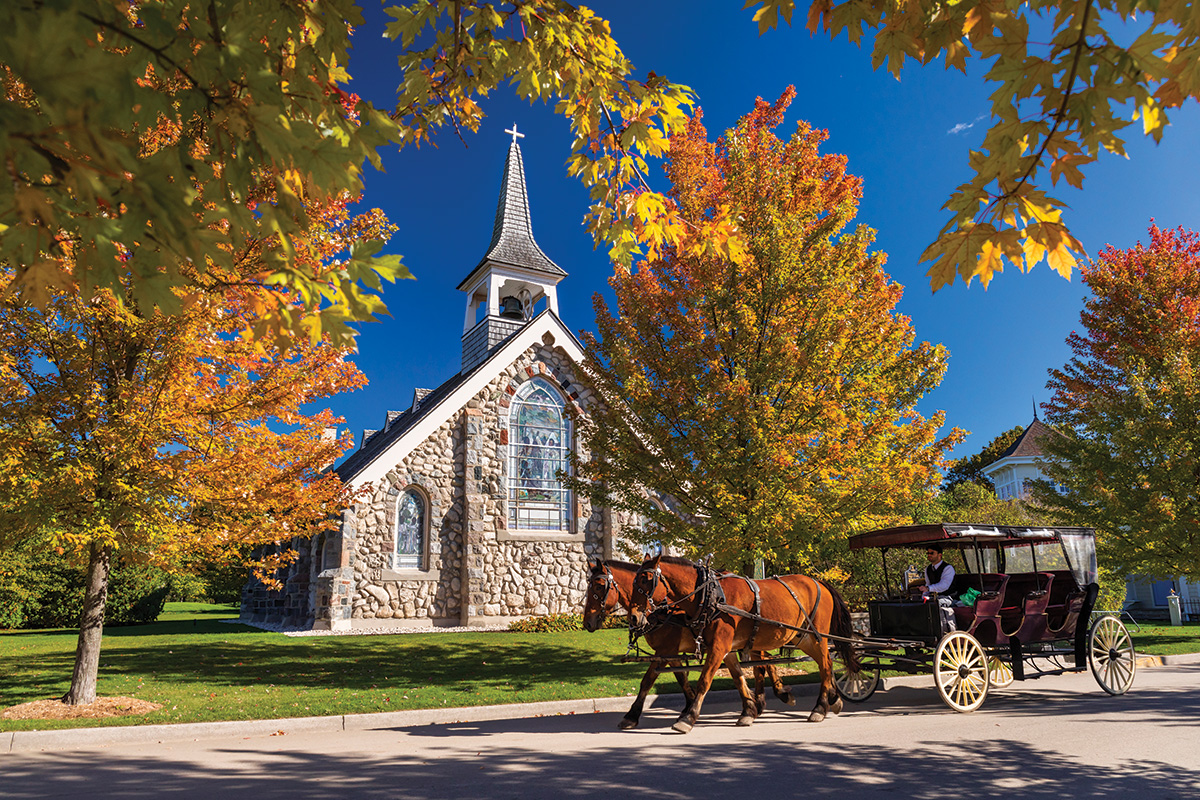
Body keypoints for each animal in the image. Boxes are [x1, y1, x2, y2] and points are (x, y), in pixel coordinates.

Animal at [583, 561, 796, 729]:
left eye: (599, 586)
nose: (587, 623)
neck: (659, 611)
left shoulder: (666, 649)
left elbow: (648, 680)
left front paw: (632, 716)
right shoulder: (670, 653)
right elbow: (681, 678)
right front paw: (689, 705)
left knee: (764, 663)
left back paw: (774, 696)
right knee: (763, 663)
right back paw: (761, 701)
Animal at [628, 556, 864, 734]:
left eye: (646, 579)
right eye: (634, 581)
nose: (633, 617)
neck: (711, 596)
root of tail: (819, 582)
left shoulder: (718, 646)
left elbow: (704, 681)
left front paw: (688, 718)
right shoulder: (724, 648)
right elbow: (739, 677)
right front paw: (748, 712)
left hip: (817, 636)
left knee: (825, 665)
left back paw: (820, 708)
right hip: (803, 637)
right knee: (827, 665)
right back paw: (833, 699)